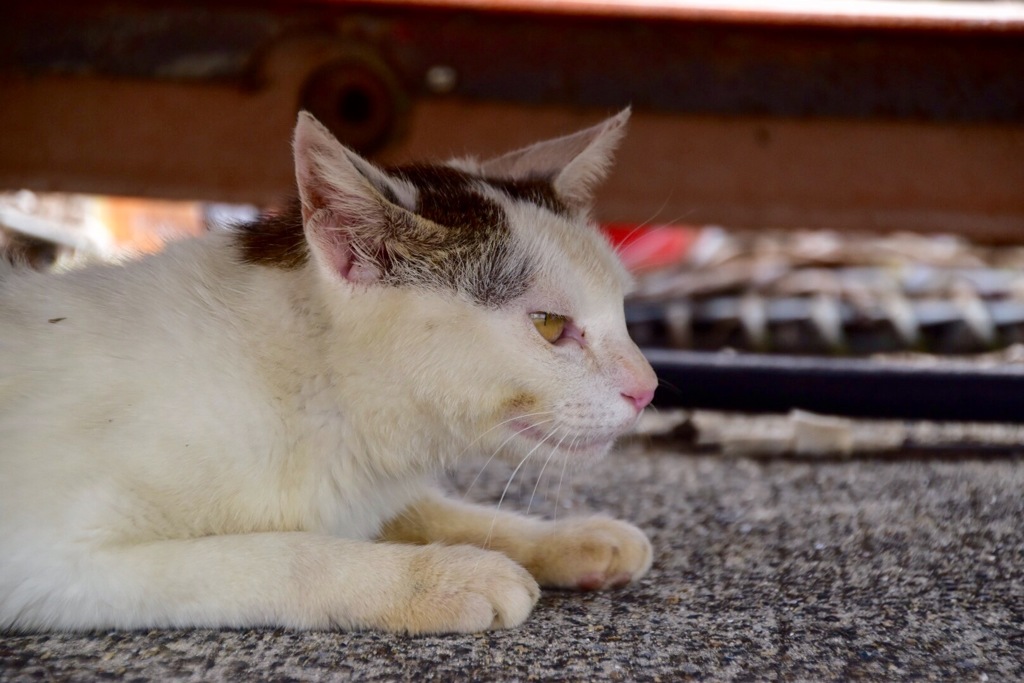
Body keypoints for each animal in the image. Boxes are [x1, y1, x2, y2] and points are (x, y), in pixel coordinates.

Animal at [0, 108, 655, 634]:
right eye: (549, 324)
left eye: (623, 310)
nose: (647, 389)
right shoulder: (45, 559)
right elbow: (279, 554)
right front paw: (439, 577)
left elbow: (430, 509)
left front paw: (569, 538)